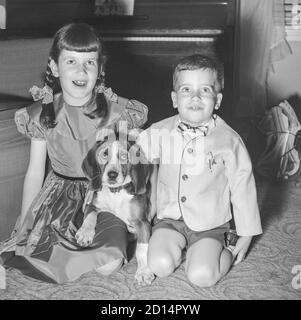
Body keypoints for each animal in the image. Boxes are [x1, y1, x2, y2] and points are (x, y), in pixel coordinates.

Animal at [74, 132, 156, 284]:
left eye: (124, 156)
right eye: (105, 154)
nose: (112, 174)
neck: (115, 192)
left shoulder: (143, 223)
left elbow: (142, 249)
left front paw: (143, 271)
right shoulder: (92, 204)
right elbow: (89, 216)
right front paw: (85, 233)